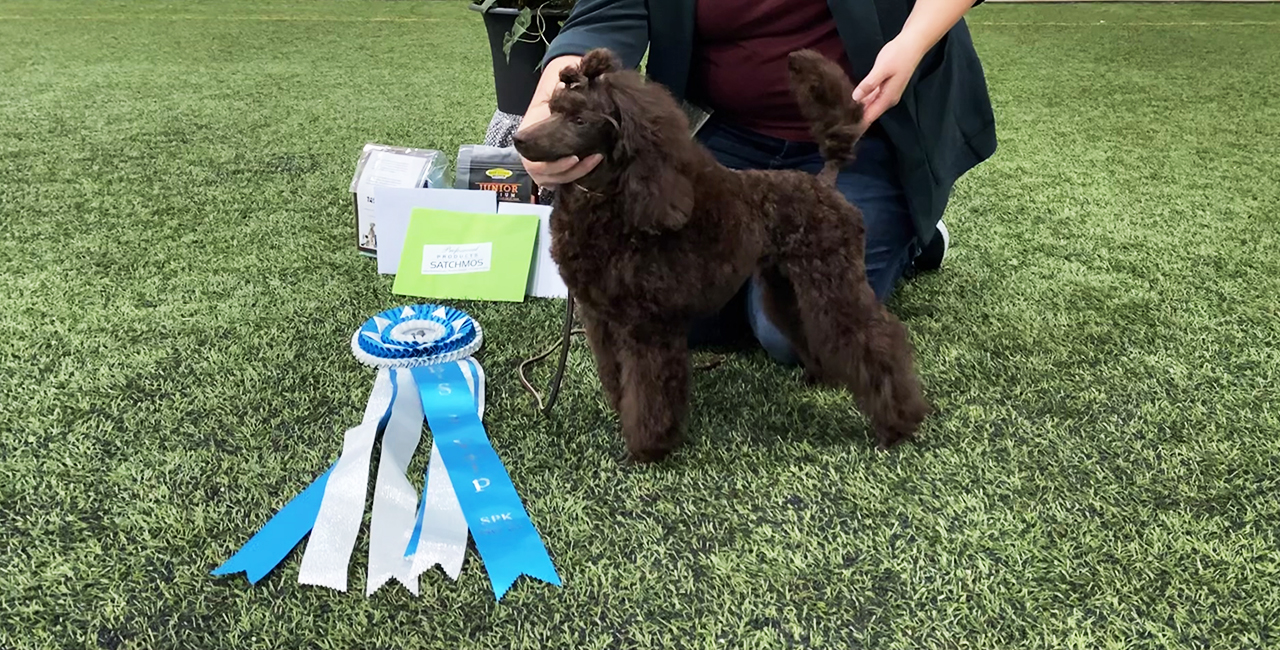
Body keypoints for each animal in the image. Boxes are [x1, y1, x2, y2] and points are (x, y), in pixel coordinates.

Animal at [512, 48, 931, 463]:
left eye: (580, 119)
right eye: (552, 109)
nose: (519, 139)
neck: (614, 205)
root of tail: (824, 184)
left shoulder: (648, 325)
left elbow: (648, 391)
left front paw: (648, 448)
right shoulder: (601, 319)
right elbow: (615, 375)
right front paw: (621, 413)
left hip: (833, 278)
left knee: (876, 338)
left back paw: (899, 422)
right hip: (787, 282)